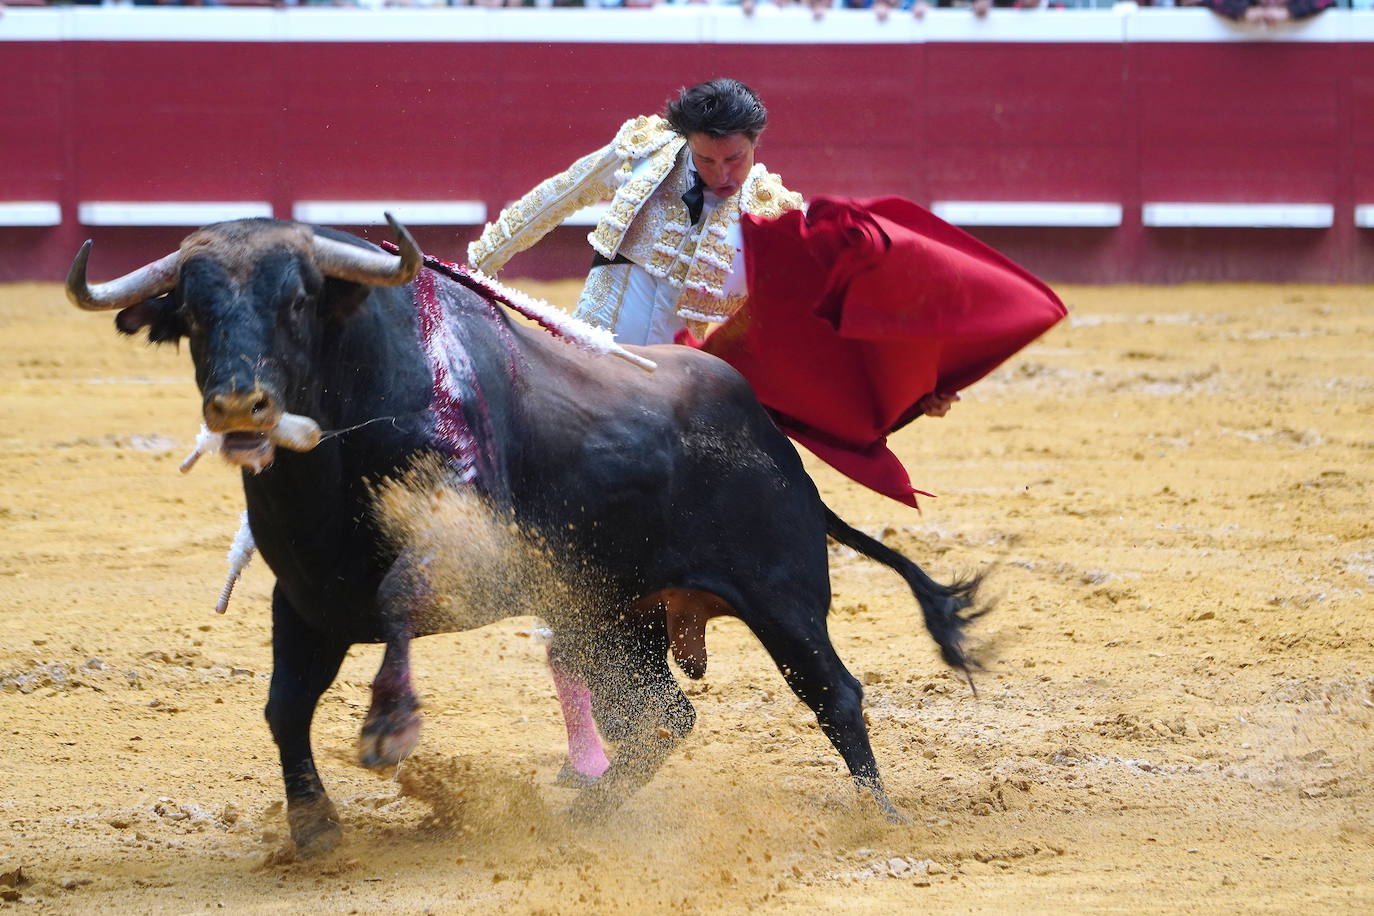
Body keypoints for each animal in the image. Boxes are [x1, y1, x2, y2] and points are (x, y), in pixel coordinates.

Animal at [69, 216, 983, 862]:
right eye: (191, 314)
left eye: (296, 300)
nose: (238, 406)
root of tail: (774, 438)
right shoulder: (303, 601)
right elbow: (284, 706)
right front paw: (315, 827)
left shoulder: (458, 551)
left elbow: (397, 596)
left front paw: (390, 727)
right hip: (614, 621)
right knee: (661, 717)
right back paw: (578, 813)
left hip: (782, 597)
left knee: (835, 696)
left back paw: (880, 818)